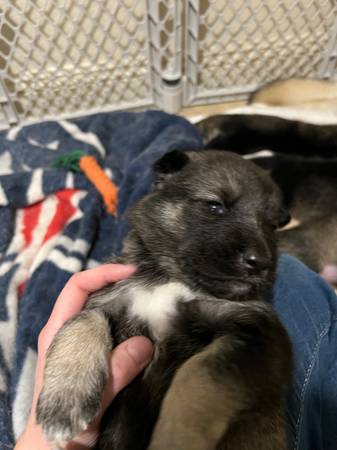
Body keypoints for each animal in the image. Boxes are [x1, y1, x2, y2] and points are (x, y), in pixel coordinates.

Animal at [35, 150, 290, 450]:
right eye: (215, 206)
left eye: (272, 227)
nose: (260, 262)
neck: (171, 279)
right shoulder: (106, 298)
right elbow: (81, 322)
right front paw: (65, 401)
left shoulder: (255, 331)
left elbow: (198, 377)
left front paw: (177, 436)